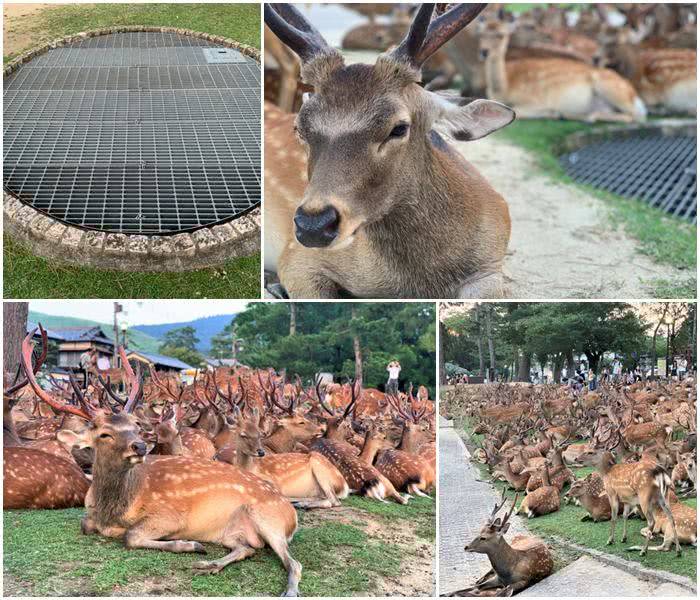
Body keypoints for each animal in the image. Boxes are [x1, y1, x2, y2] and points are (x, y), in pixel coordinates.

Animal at [17, 338, 304, 596]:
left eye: (135, 426)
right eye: (104, 434)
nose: (140, 447)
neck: (113, 510)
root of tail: (290, 511)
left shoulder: (170, 515)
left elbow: (130, 536)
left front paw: (189, 544)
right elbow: (85, 524)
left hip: (269, 518)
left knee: (293, 563)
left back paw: (287, 589)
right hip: (233, 533)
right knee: (249, 548)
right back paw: (208, 564)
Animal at [478, 15, 648, 122]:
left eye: (501, 35)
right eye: (481, 33)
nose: (484, 51)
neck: (504, 89)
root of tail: (634, 95)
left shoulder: (536, 100)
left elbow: (520, 112)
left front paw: (551, 112)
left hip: (611, 89)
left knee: (636, 116)